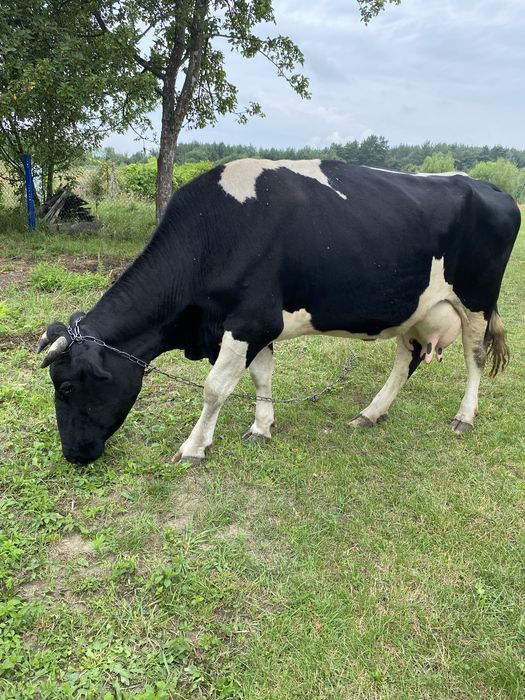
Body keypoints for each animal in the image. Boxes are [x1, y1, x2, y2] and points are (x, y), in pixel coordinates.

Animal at [36, 159, 521, 464]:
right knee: (408, 359)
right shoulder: (252, 326)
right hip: (415, 309)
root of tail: (491, 188)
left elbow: (215, 388)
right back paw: (371, 412)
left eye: (66, 387)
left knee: (474, 359)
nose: (73, 455)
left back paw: (464, 417)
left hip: (477, 302)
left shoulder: (249, 321)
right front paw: (262, 427)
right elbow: (261, 377)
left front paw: (194, 447)